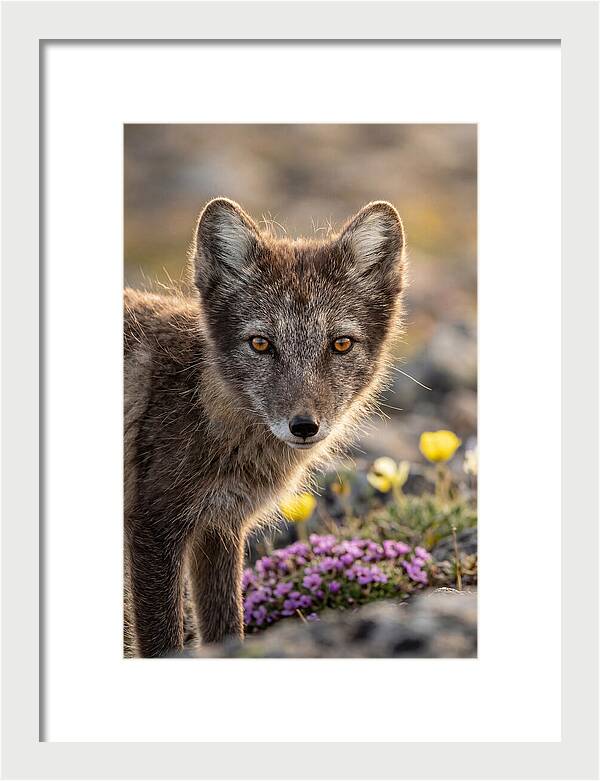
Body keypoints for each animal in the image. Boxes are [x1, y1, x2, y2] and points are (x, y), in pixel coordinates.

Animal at [124, 197, 406, 657]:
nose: (304, 426)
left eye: (341, 344)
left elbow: (226, 628)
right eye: (260, 343)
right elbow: (163, 642)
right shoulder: (154, 525)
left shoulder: (219, 528)